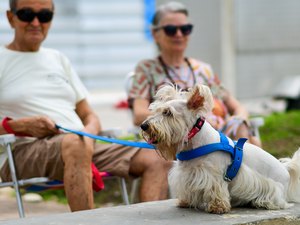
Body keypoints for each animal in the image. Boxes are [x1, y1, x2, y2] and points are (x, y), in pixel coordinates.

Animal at [141, 83, 300, 214]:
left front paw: (218, 207)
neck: (194, 142)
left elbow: (216, 190)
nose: (144, 126)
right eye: (155, 110)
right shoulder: (186, 174)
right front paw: (185, 201)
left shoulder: (214, 175)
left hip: (274, 189)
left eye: (168, 113)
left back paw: (262, 203)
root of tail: (286, 169)